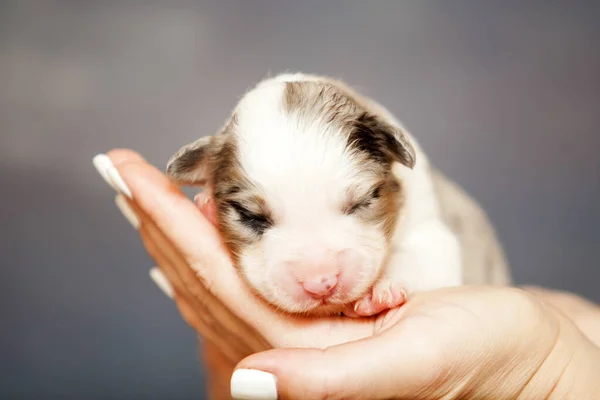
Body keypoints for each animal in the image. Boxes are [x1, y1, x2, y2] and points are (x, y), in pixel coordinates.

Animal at [164, 71, 506, 316]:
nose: (321, 283)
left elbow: (427, 256)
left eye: (363, 201)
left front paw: (383, 288)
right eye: (251, 217)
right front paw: (208, 208)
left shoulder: (432, 230)